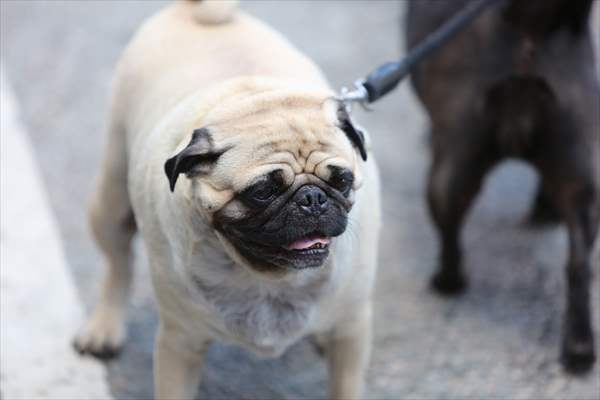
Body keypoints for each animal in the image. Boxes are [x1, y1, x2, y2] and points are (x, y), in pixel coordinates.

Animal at [406, 0, 596, 374]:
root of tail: (531, 31)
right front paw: (544, 208)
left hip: (452, 167)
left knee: (449, 228)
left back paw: (447, 281)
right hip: (581, 175)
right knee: (579, 264)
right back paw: (579, 348)